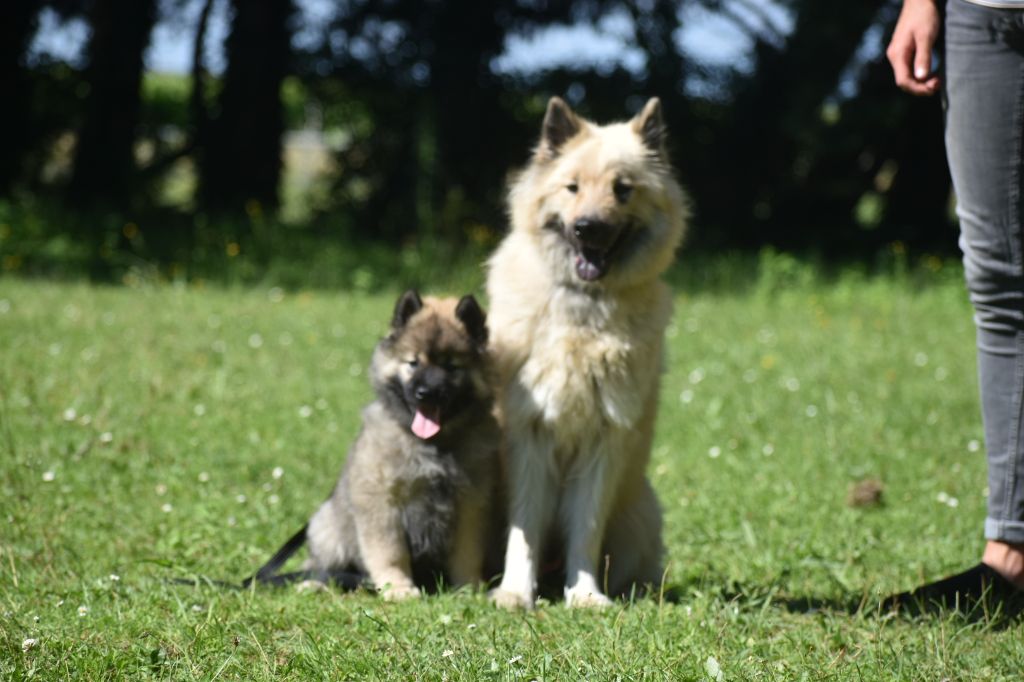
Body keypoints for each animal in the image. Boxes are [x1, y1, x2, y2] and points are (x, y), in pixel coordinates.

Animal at [304, 290, 500, 600]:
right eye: (413, 363)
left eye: (451, 366)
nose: (426, 393)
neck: (433, 446)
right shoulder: (382, 501)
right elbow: (390, 553)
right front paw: (397, 588)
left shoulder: (471, 504)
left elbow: (467, 554)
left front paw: (469, 587)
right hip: (328, 528)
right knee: (321, 566)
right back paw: (313, 584)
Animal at [486, 97, 688, 609]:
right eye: (572, 187)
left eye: (623, 190)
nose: (587, 228)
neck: (583, 311)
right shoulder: (529, 436)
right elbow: (525, 526)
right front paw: (515, 593)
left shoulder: (605, 440)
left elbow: (587, 526)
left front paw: (585, 594)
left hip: (641, 511)